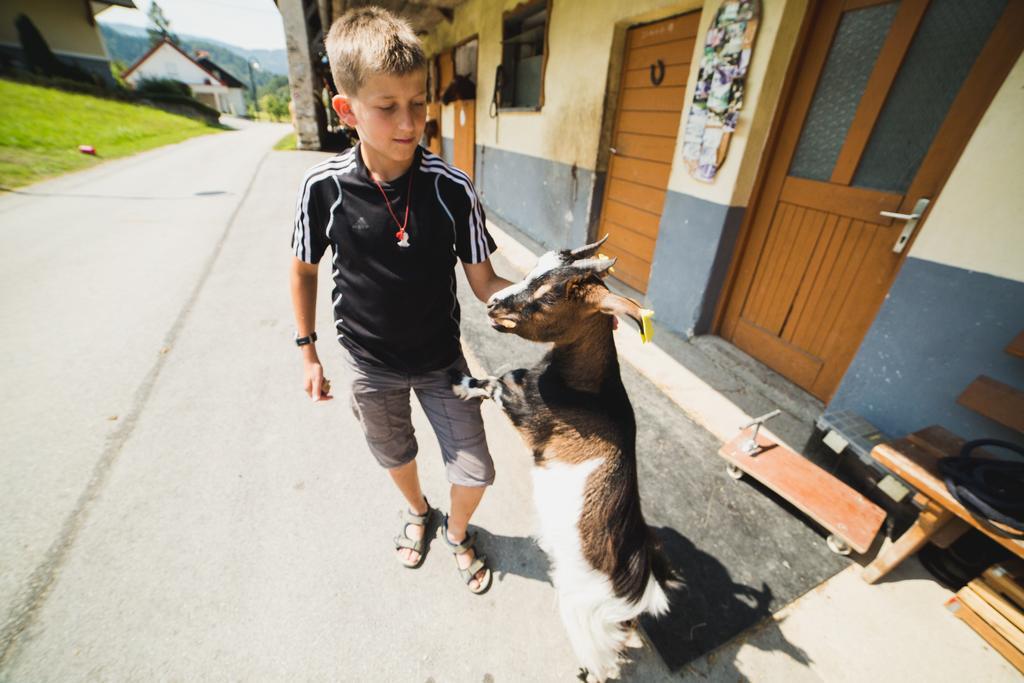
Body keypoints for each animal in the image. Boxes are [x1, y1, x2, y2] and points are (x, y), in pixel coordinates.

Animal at [450, 237, 675, 679]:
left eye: (548, 298)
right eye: (534, 269)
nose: (493, 304)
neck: (585, 388)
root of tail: (639, 589)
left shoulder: (523, 412)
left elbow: (492, 382)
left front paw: (458, 383)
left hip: (583, 612)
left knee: (601, 654)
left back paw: (588, 672)